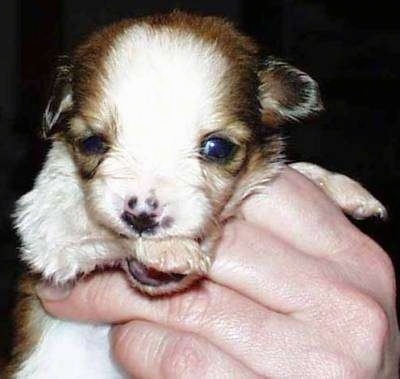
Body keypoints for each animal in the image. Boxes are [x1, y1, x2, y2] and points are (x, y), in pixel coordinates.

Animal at [6, 11, 386, 379]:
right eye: (92, 143)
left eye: (217, 147)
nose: (141, 215)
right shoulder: (44, 222)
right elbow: (84, 219)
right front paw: (168, 248)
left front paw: (339, 186)